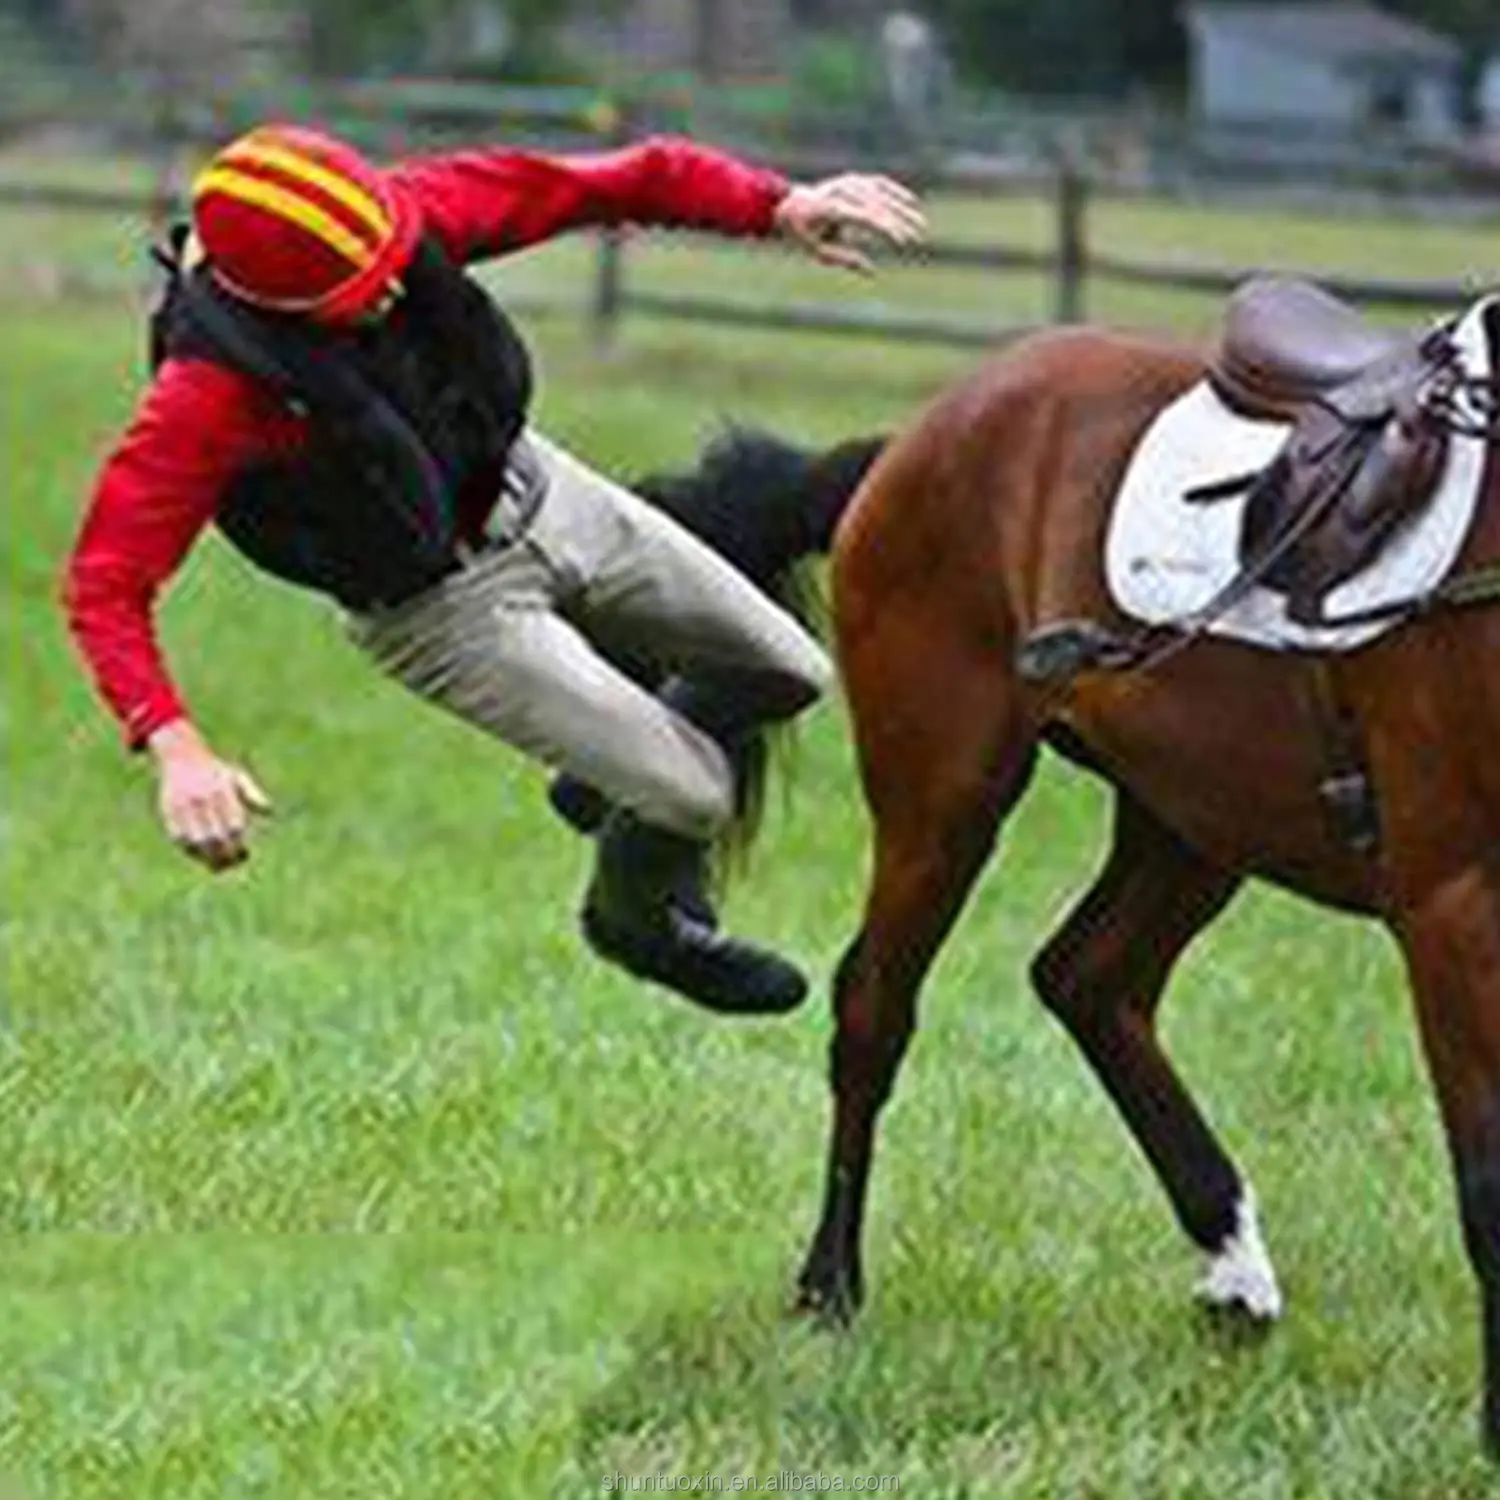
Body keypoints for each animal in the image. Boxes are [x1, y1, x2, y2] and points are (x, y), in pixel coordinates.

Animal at [602, 286, 1500, 1458]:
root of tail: (922, 433)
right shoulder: (1451, 905)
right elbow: (1487, 1184)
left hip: (1194, 816)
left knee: (1090, 979)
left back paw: (1232, 1264)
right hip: (948, 792)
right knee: (875, 1007)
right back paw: (829, 1290)